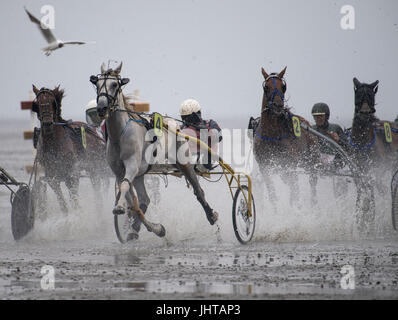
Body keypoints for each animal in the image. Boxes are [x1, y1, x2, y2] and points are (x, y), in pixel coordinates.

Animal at [90, 62, 219, 241]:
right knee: (145, 200)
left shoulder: (132, 165)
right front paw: (154, 228)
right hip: (140, 175)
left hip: (184, 163)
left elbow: (125, 186)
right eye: (97, 84)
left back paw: (211, 215)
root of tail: (174, 125)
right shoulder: (119, 171)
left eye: (114, 84)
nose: (102, 107)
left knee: (198, 191)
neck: (120, 134)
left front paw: (120, 207)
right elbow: (133, 202)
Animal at [252, 67, 320, 208]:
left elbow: (295, 192)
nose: (278, 105)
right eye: (266, 87)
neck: (271, 134)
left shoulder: (290, 164)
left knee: (310, 184)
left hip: (310, 161)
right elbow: (272, 194)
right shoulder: (264, 167)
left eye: (283, 87)